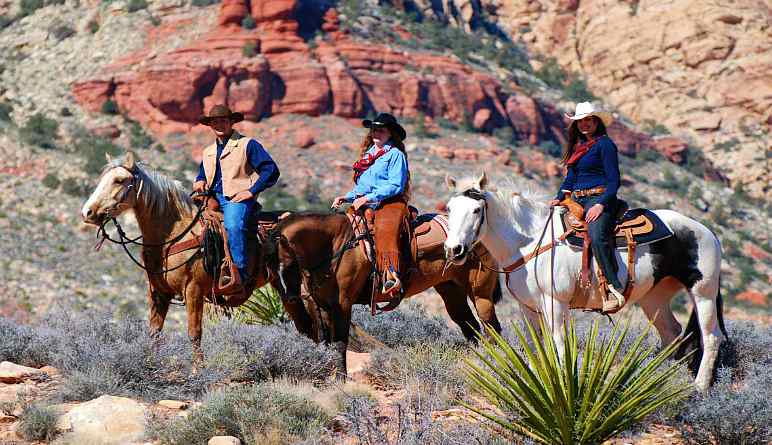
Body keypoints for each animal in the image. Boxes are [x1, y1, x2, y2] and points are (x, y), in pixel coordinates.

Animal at [79, 153, 274, 364]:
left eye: (119, 180)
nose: (87, 212)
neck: (173, 235)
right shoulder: (158, 292)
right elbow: (155, 333)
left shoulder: (194, 290)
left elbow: (194, 334)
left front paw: (199, 369)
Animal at [268, 210, 504, 372]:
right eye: (268, 269)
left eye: (288, 265)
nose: (289, 297)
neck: (336, 245)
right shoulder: (322, 305)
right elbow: (326, 342)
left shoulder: (342, 304)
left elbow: (340, 343)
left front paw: (341, 380)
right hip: (451, 291)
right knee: (470, 327)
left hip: (480, 294)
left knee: (491, 328)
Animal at [444, 173, 728, 392]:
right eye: (449, 208)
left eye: (476, 210)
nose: (453, 249)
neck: (528, 242)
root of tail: (708, 232)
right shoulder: (528, 307)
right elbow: (535, 344)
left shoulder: (555, 302)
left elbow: (558, 342)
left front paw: (560, 384)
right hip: (654, 298)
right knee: (671, 333)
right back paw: (659, 380)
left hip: (702, 293)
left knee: (710, 336)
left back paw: (700, 387)